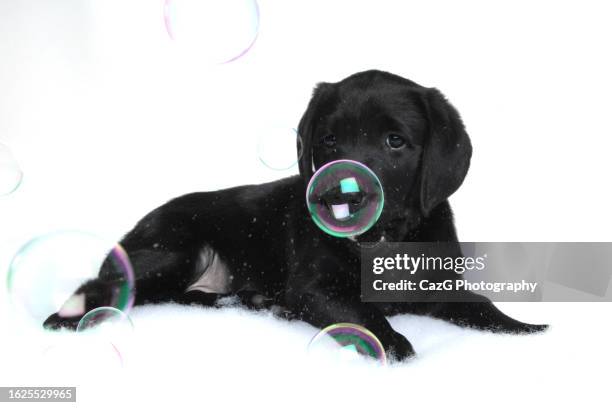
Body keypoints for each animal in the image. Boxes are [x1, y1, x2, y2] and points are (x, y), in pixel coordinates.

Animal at [46, 69, 544, 360]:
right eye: (328, 139)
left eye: (395, 142)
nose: (335, 195)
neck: (378, 243)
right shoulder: (314, 288)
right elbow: (360, 313)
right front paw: (394, 344)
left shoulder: (438, 286)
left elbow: (482, 305)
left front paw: (527, 329)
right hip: (175, 252)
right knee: (107, 285)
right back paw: (67, 318)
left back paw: (255, 302)